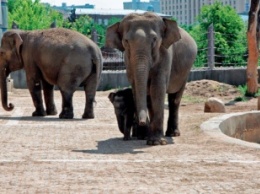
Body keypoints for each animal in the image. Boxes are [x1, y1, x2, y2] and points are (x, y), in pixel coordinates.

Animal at [105, 12, 197, 145]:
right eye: (126, 41)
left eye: (154, 40)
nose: (142, 122)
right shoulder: (128, 59)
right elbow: (136, 86)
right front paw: (143, 137)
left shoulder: (165, 53)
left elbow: (157, 87)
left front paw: (156, 142)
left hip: (186, 71)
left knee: (175, 99)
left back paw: (172, 134)